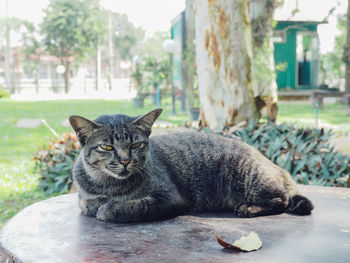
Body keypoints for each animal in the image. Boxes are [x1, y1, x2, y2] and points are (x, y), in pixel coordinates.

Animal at [69, 109, 314, 223]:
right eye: (107, 147)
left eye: (136, 144)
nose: (125, 160)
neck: (109, 186)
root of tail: (278, 167)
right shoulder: (84, 197)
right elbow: (87, 204)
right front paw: (98, 203)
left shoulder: (169, 198)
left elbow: (126, 207)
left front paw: (109, 208)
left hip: (251, 175)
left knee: (282, 199)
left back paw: (248, 208)